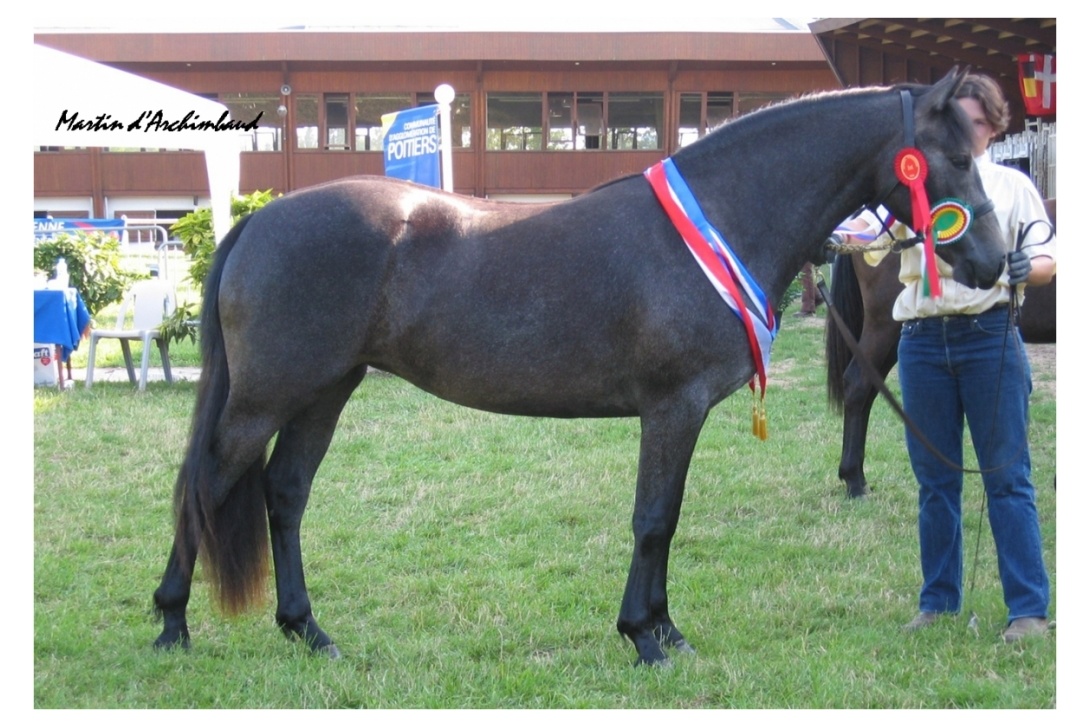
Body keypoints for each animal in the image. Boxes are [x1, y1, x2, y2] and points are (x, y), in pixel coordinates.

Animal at [153, 68, 1002, 667]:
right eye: (957, 156)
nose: (994, 262)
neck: (720, 219)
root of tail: (261, 217)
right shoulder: (672, 406)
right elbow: (653, 518)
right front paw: (645, 637)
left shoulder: (681, 414)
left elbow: (667, 518)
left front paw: (666, 629)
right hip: (266, 398)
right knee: (207, 482)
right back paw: (171, 623)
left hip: (325, 390)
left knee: (285, 492)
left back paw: (308, 630)